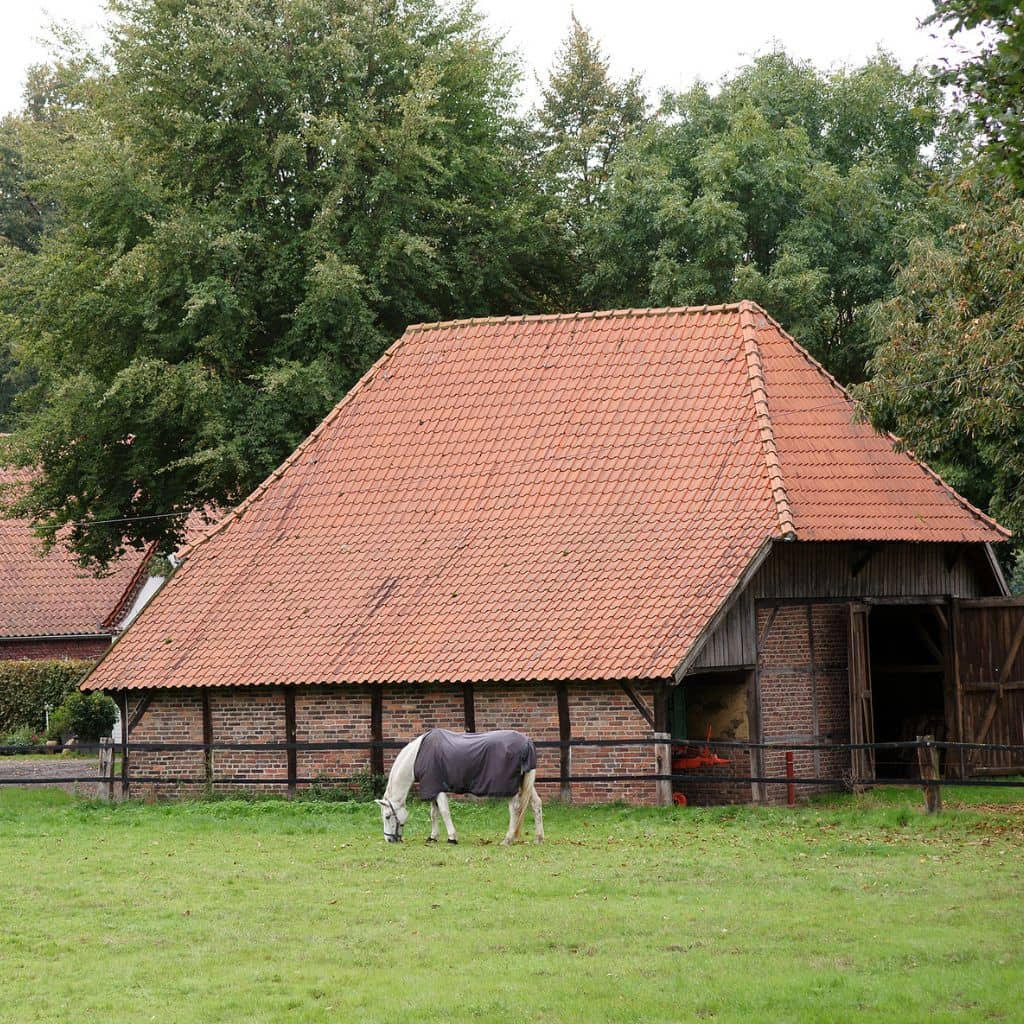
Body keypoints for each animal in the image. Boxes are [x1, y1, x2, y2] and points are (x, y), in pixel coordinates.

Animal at [376, 728, 544, 845]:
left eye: (387, 816)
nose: (389, 840)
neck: (417, 756)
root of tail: (526, 742)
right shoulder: (433, 788)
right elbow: (434, 813)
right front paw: (433, 837)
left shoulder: (437, 788)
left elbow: (444, 812)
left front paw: (452, 838)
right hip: (526, 784)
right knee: (536, 804)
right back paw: (539, 838)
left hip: (509, 788)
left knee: (515, 809)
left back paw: (508, 840)